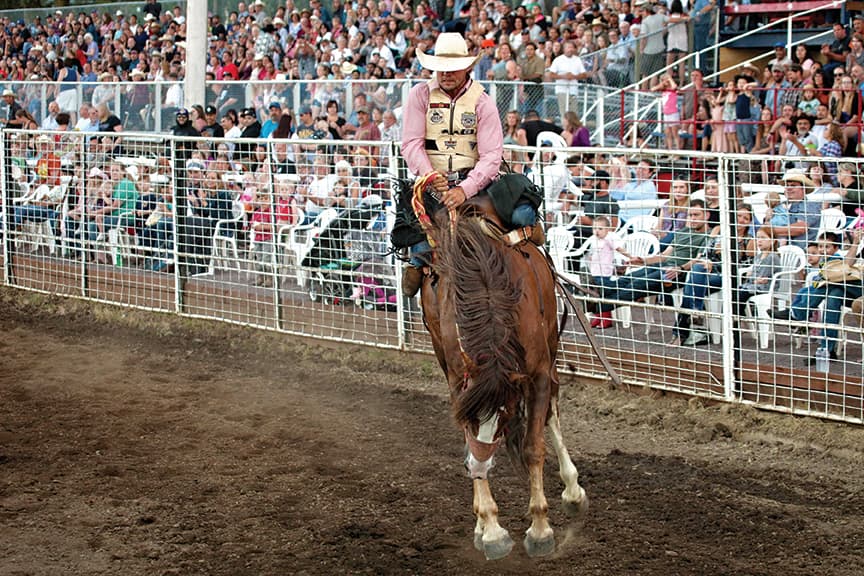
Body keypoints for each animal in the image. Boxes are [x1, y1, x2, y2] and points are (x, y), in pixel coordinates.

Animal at [416, 196, 588, 560]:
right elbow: (470, 443)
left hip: (552, 349)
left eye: (505, 414)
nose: (479, 469)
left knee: (552, 413)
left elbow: (534, 447)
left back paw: (573, 491)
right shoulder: (458, 383)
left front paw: (540, 529)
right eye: (472, 418)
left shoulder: (538, 374)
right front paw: (491, 529)